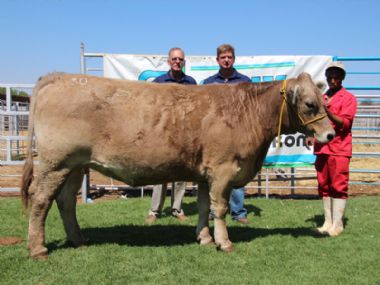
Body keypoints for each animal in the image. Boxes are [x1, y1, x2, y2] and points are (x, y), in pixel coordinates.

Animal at [21, 71, 336, 258]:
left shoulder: (205, 174)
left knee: (65, 201)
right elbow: (220, 208)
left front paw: (204, 238)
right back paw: (37, 248)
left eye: (324, 101)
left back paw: (78, 240)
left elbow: (205, 207)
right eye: (309, 104)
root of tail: (59, 76)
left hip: (76, 165)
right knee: (41, 200)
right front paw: (224, 242)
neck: (247, 112)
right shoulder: (222, 170)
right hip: (54, 162)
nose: (330, 134)